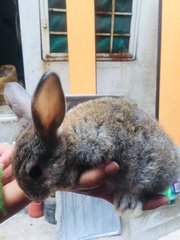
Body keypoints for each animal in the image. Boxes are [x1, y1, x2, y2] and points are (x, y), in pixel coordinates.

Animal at [3, 71, 179, 218]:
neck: (68, 142)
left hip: (148, 169)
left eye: (35, 172)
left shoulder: (99, 145)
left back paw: (127, 204)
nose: (33, 196)